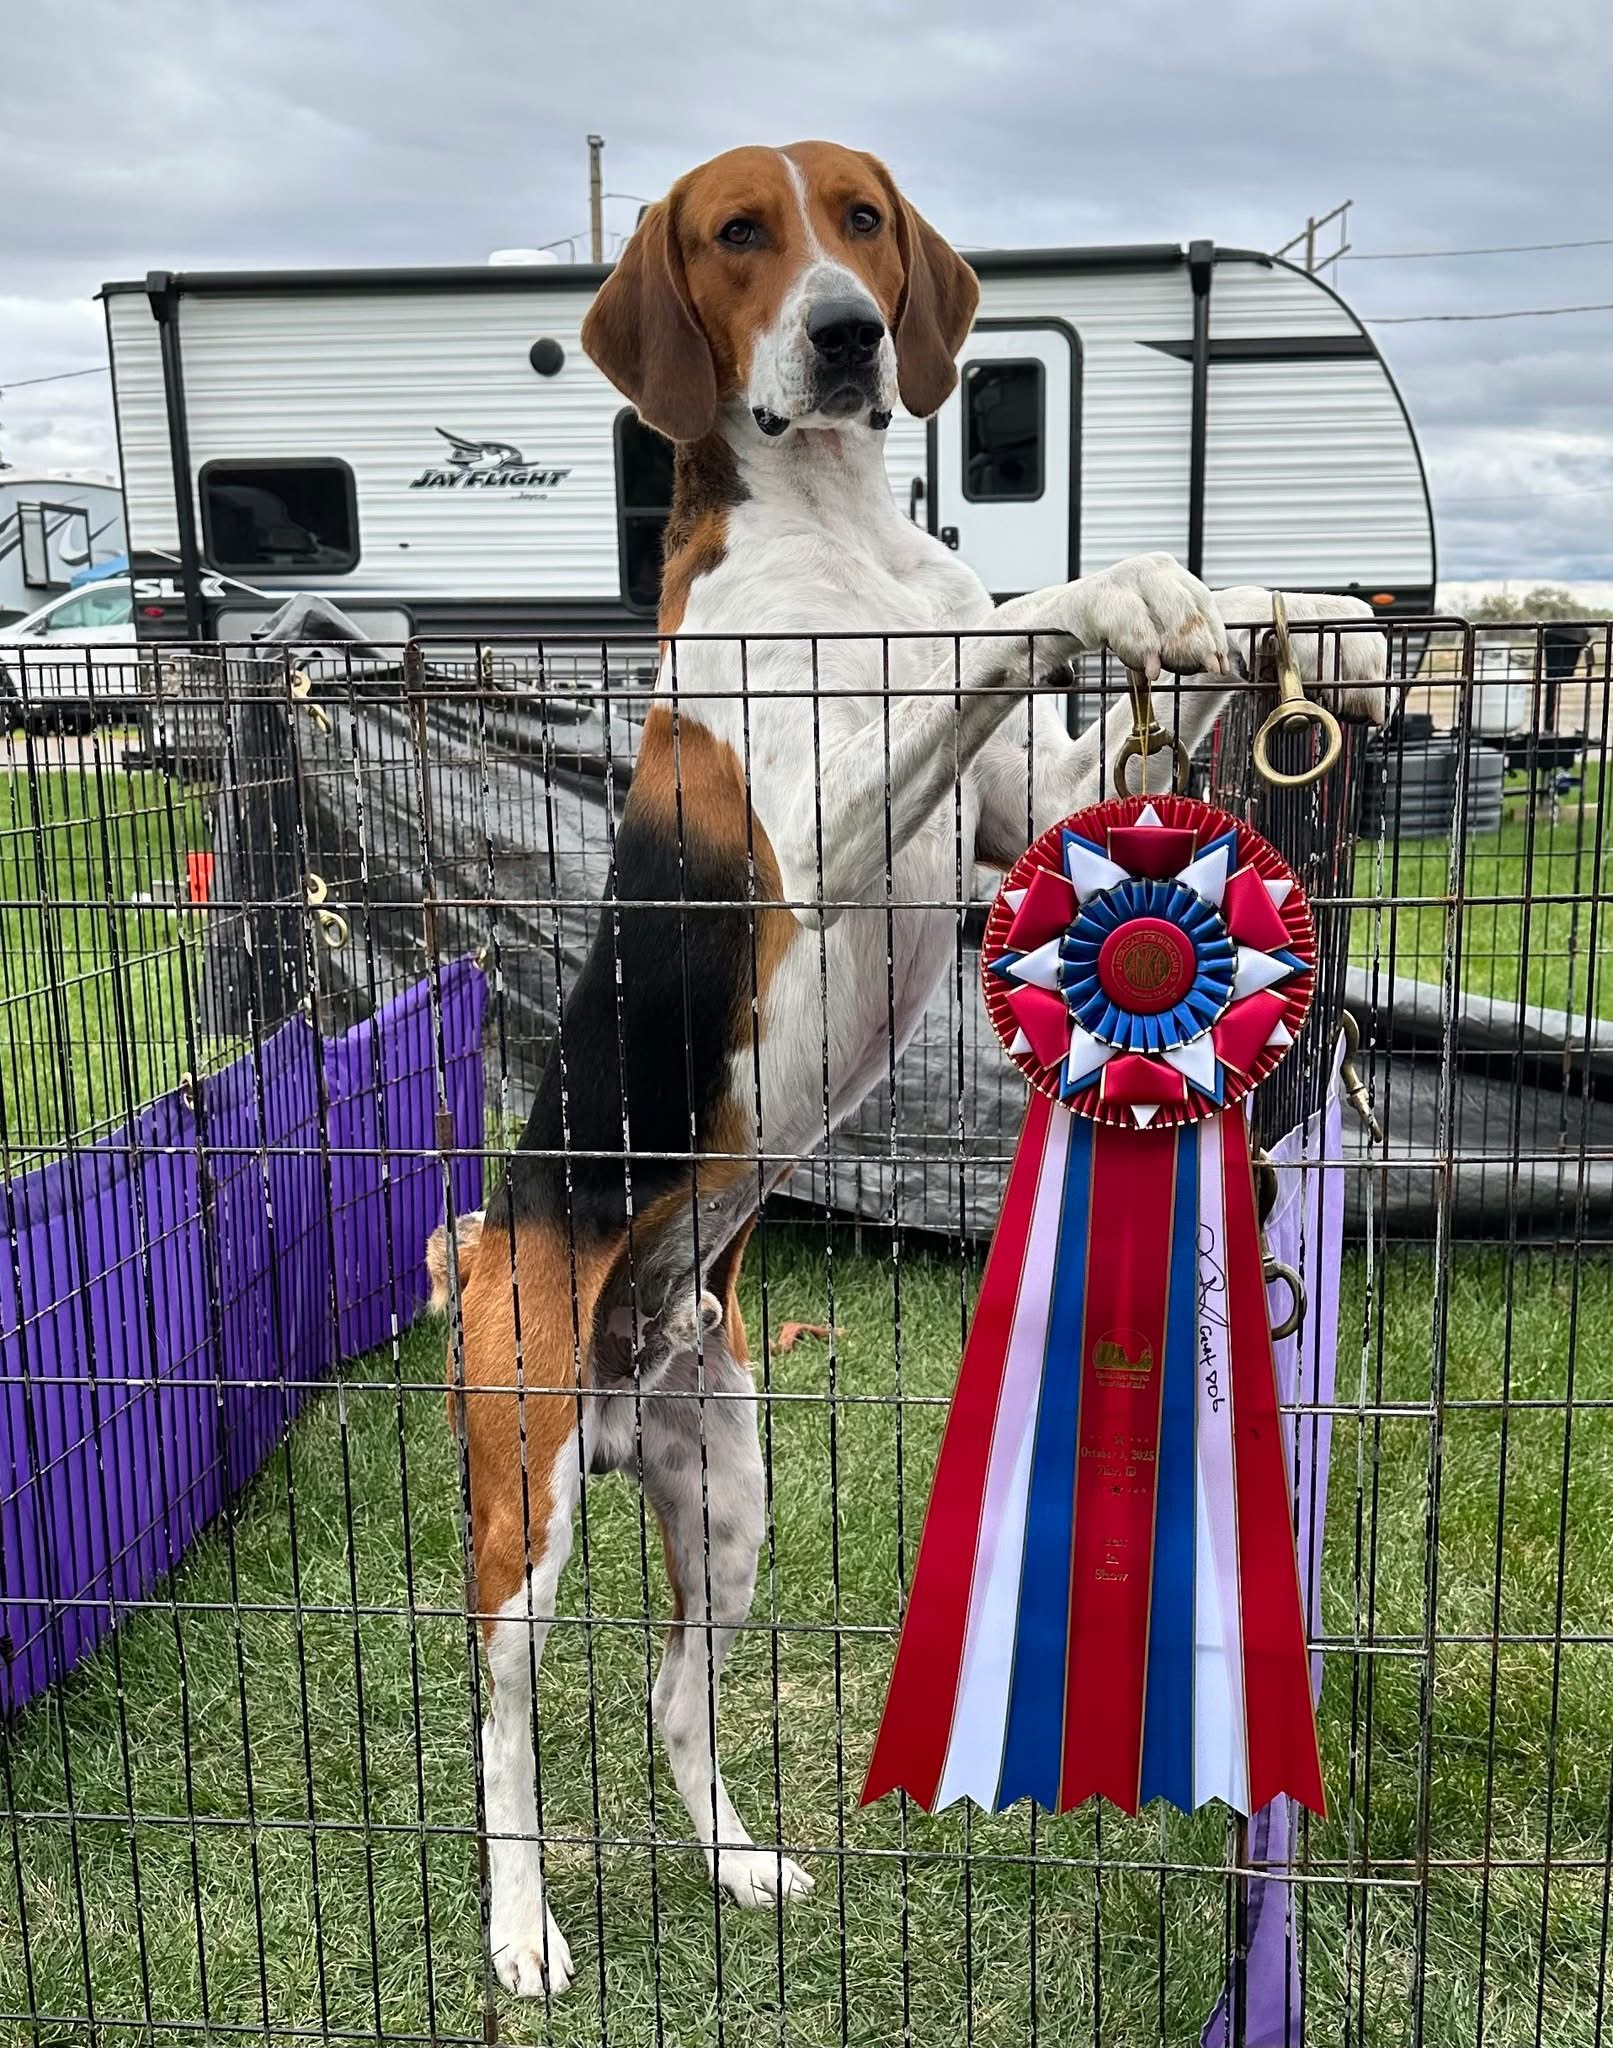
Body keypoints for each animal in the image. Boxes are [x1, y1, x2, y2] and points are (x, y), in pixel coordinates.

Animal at [430, 140, 1387, 1997]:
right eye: (739, 235)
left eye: (860, 222)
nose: (847, 335)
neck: (840, 528)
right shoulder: (816, 823)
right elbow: (994, 627)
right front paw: (1114, 586)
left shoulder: (1036, 798)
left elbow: (1137, 687)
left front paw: (1301, 610)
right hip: (526, 1500)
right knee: (503, 1731)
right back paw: (519, 1928)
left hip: (724, 1494)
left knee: (670, 1697)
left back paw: (735, 1866)